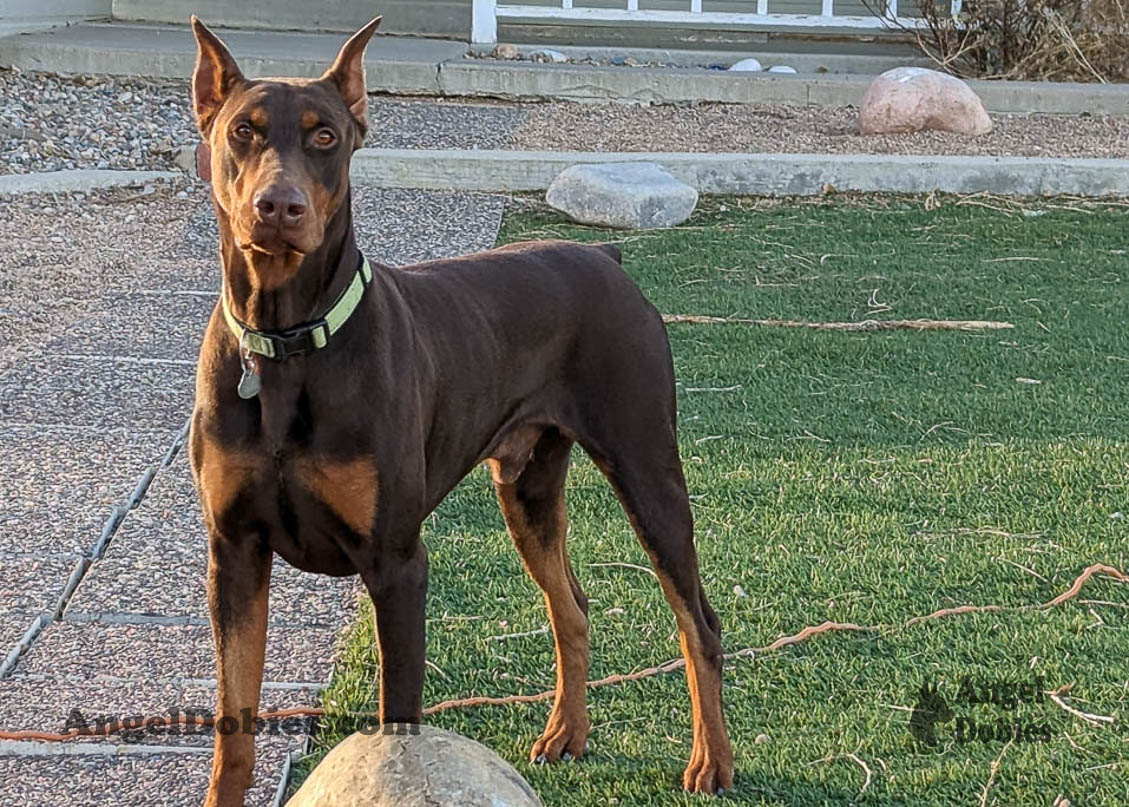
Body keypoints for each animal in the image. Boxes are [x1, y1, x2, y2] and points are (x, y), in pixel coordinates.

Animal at [187, 15, 731, 803]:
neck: (287, 344)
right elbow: (233, 726)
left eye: (325, 136)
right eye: (242, 131)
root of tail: (606, 257)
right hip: (527, 487)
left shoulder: (396, 563)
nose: (279, 207)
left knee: (698, 620)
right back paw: (566, 734)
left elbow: (399, 719)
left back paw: (711, 759)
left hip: (646, 468)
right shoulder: (233, 552)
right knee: (571, 604)